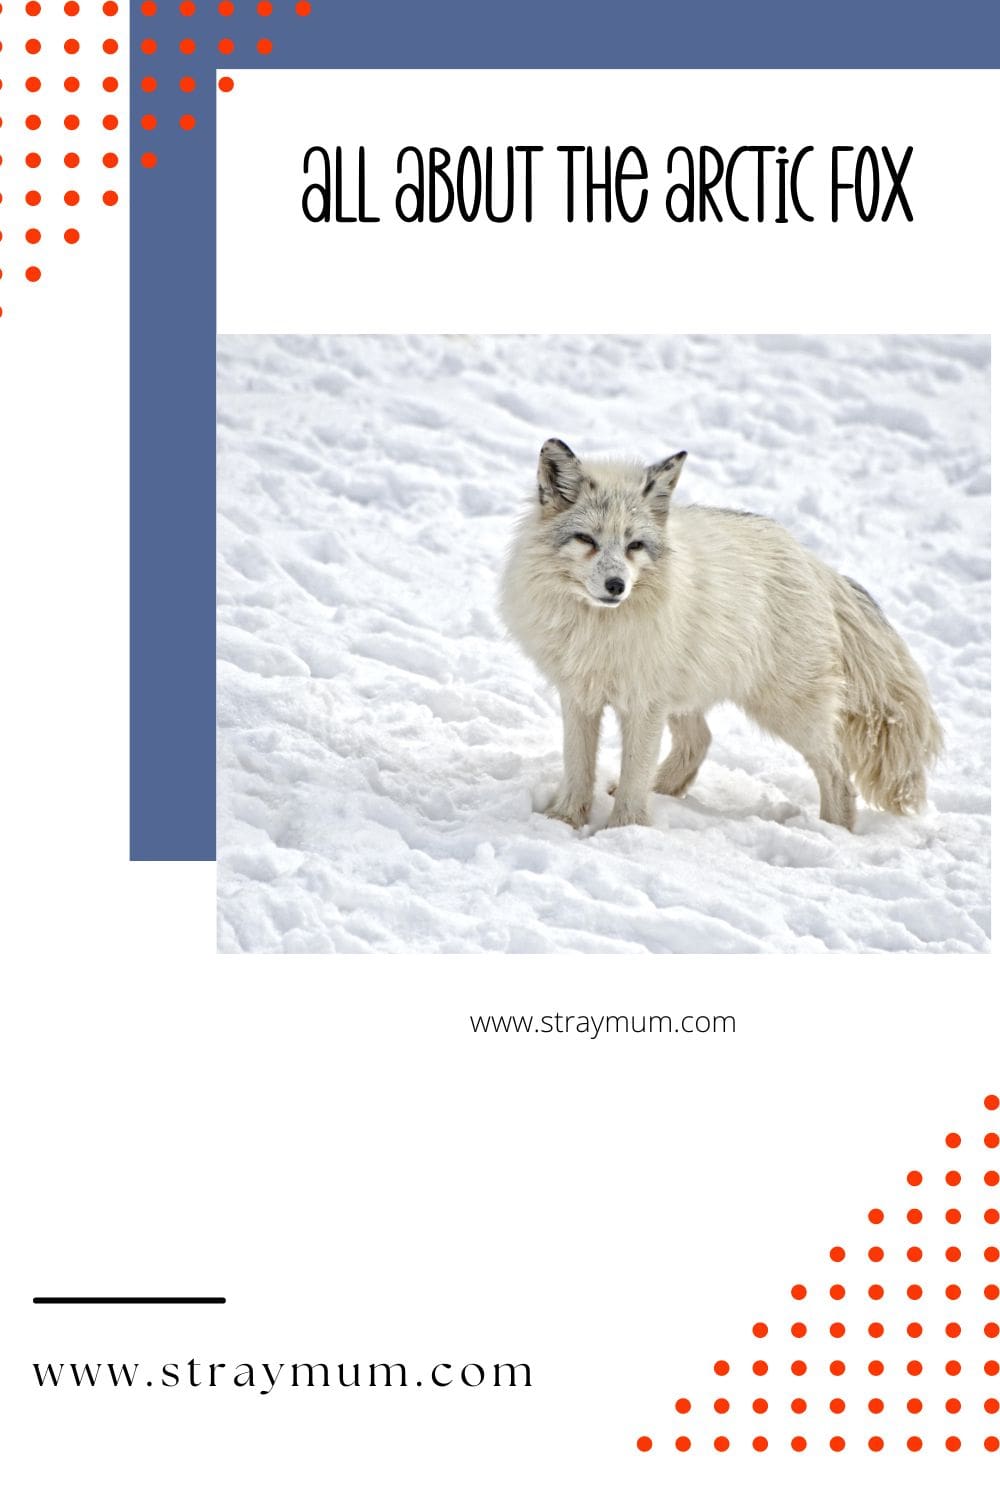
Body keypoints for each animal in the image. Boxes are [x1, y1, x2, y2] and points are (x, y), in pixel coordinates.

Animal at [499, 438, 942, 832]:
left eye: (634, 545)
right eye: (586, 540)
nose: (616, 586)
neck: (600, 629)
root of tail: (813, 563)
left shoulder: (643, 704)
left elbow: (634, 774)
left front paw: (624, 832)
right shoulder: (580, 695)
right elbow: (579, 767)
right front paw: (565, 821)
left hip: (786, 710)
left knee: (838, 774)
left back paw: (833, 833)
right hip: (688, 696)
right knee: (700, 742)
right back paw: (662, 791)